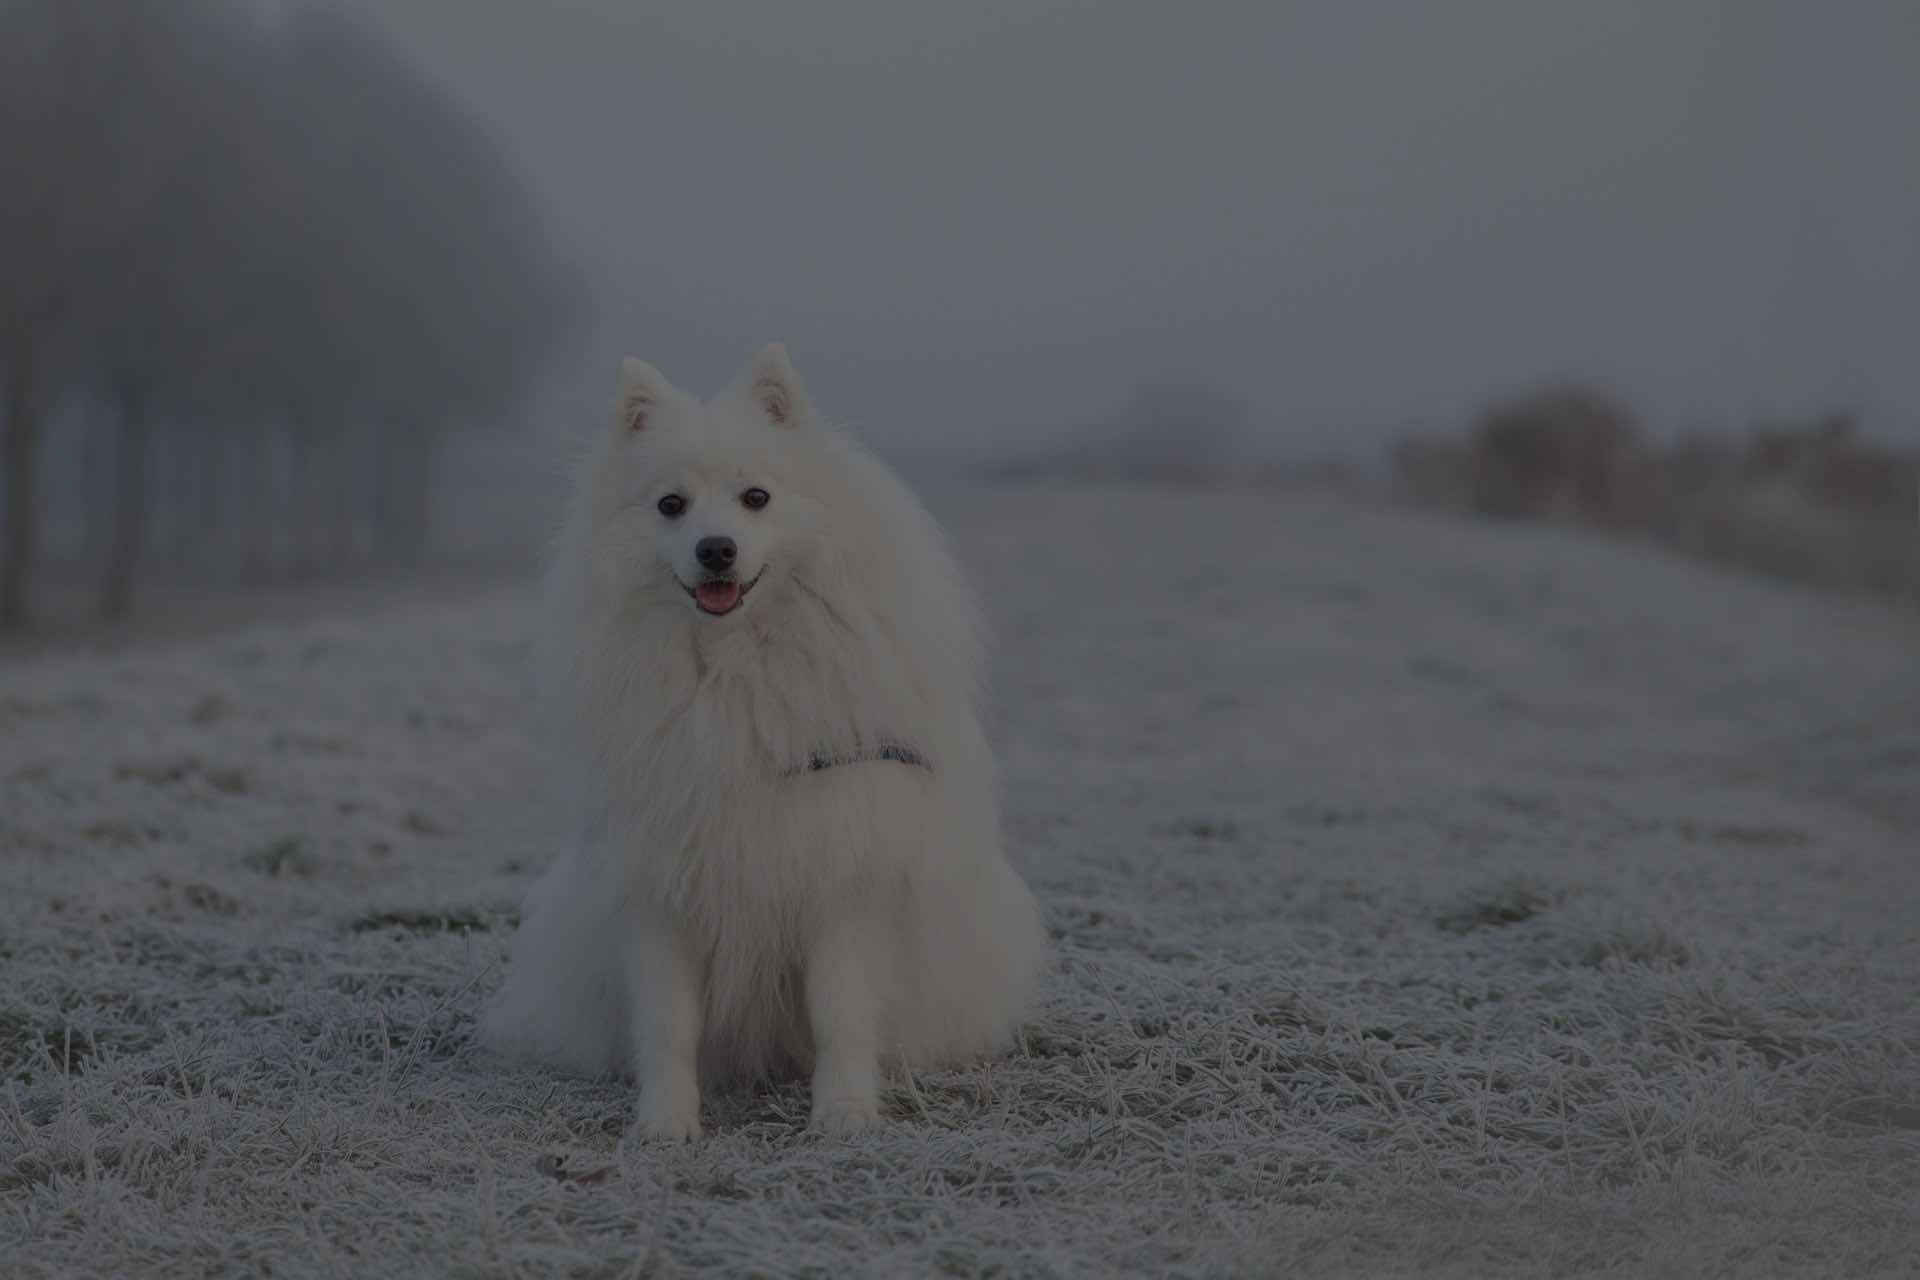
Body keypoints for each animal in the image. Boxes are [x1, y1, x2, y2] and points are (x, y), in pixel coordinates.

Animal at [487, 343, 1044, 1143]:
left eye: (757, 497)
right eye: (671, 505)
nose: (715, 549)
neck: (733, 673)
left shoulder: (842, 875)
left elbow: (841, 1012)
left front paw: (843, 1115)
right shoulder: (660, 888)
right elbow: (668, 1023)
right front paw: (664, 1126)